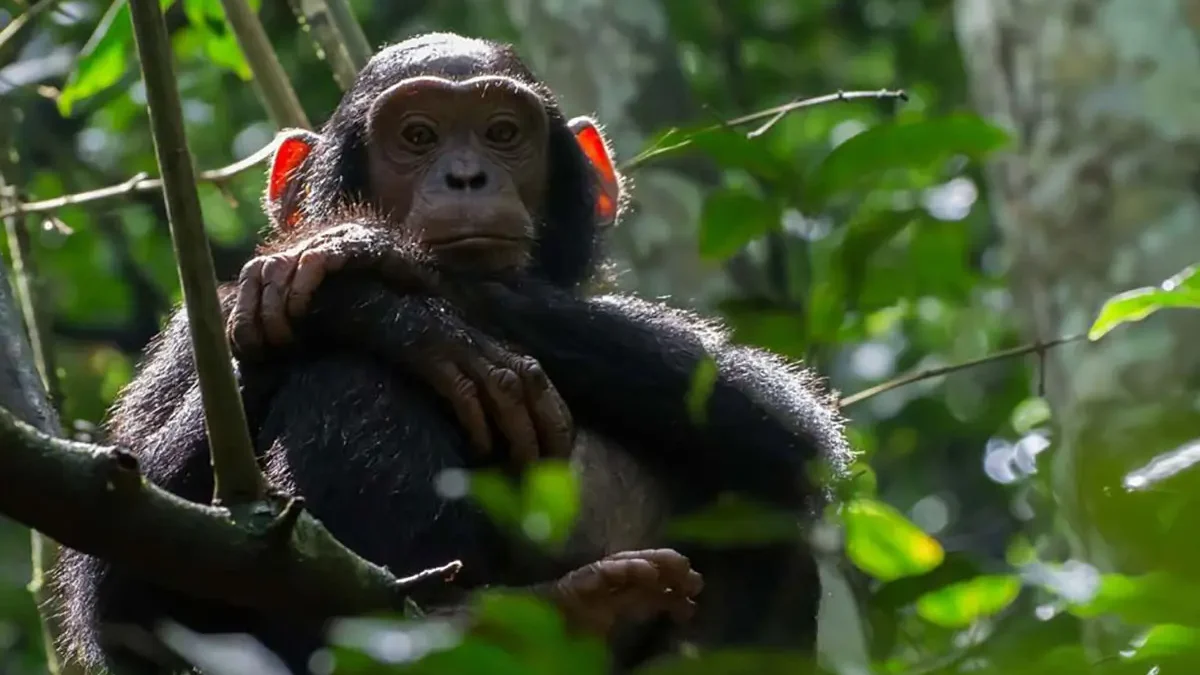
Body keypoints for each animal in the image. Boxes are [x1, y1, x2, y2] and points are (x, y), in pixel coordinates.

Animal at [53, 32, 851, 675]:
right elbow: (121, 581)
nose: (467, 176)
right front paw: (391, 313)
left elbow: (789, 426)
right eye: (417, 135)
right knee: (345, 375)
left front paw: (364, 263)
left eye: (502, 132)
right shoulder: (192, 333)